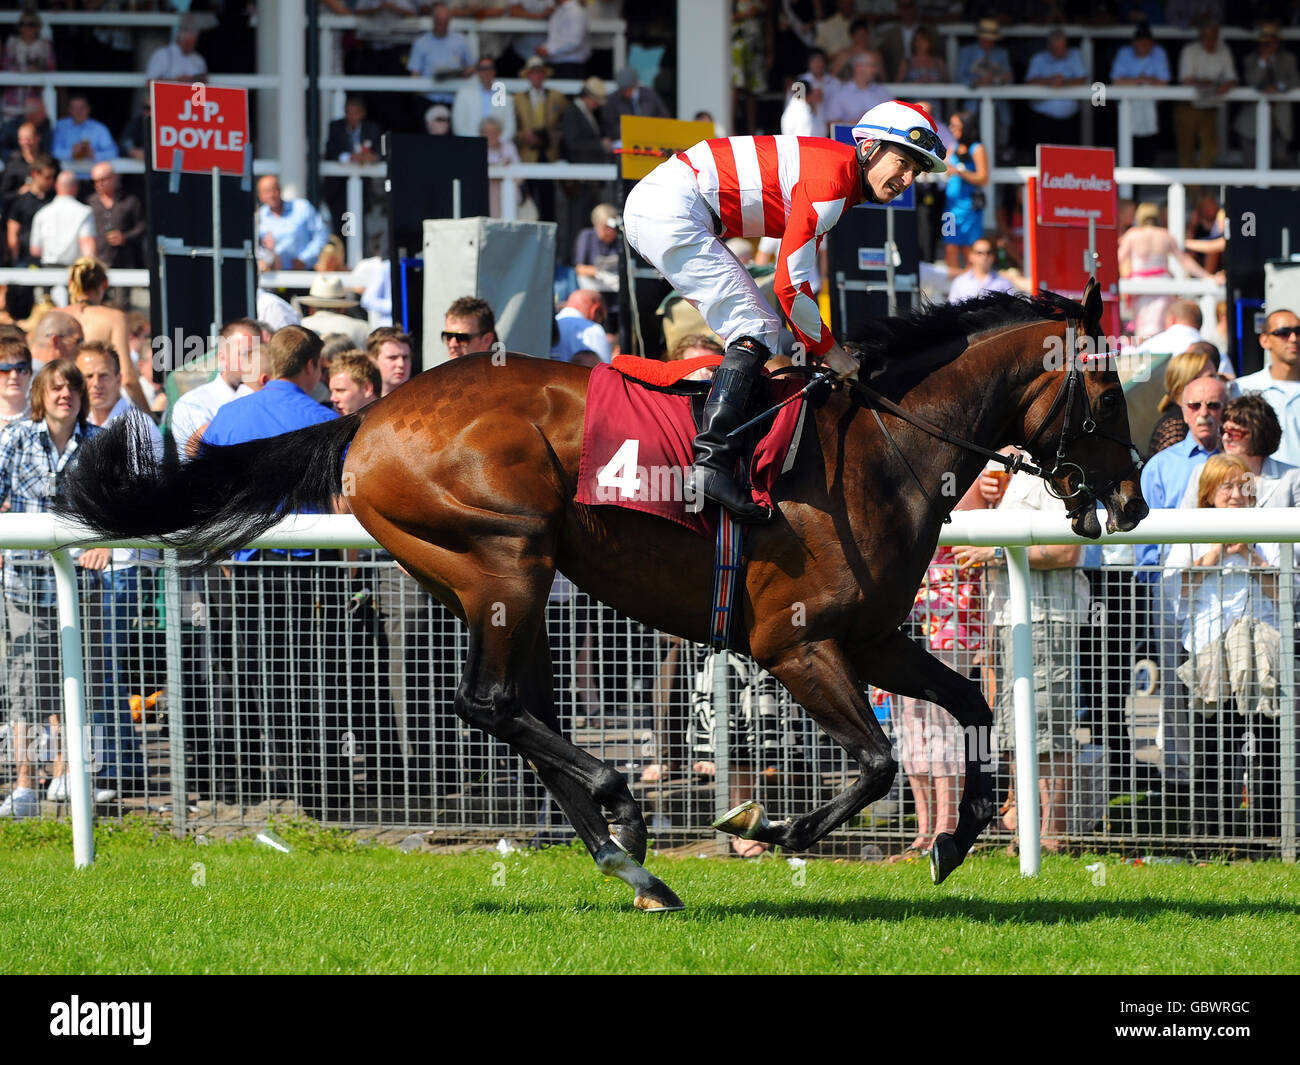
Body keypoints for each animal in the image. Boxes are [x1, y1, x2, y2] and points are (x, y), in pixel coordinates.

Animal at [55, 279, 1144, 910]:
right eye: (1105, 391)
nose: (1131, 500)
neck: (882, 448)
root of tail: (368, 418)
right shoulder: (795, 644)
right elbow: (879, 763)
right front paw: (772, 826)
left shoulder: (874, 638)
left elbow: (974, 706)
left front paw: (956, 835)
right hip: (505, 556)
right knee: (489, 702)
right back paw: (626, 815)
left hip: (495, 578)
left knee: (515, 710)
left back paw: (633, 865)